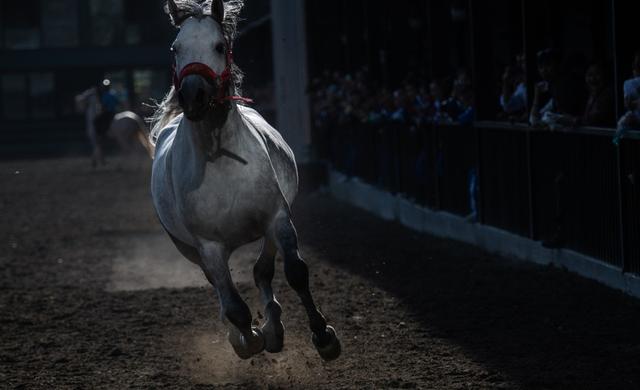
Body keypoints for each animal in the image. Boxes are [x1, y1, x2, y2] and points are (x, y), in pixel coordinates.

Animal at [150, 0, 342, 362]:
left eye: (219, 46)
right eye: (175, 48)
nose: (192, 96)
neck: (221, 162)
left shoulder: (278, 218)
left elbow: (295, 273)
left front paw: (323, 337)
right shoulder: (208, 246)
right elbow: (234, 306)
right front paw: (248, 339)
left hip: (268, 229)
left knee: (262, 271)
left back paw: (275, 327)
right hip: (188, 247)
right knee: (223, 290)